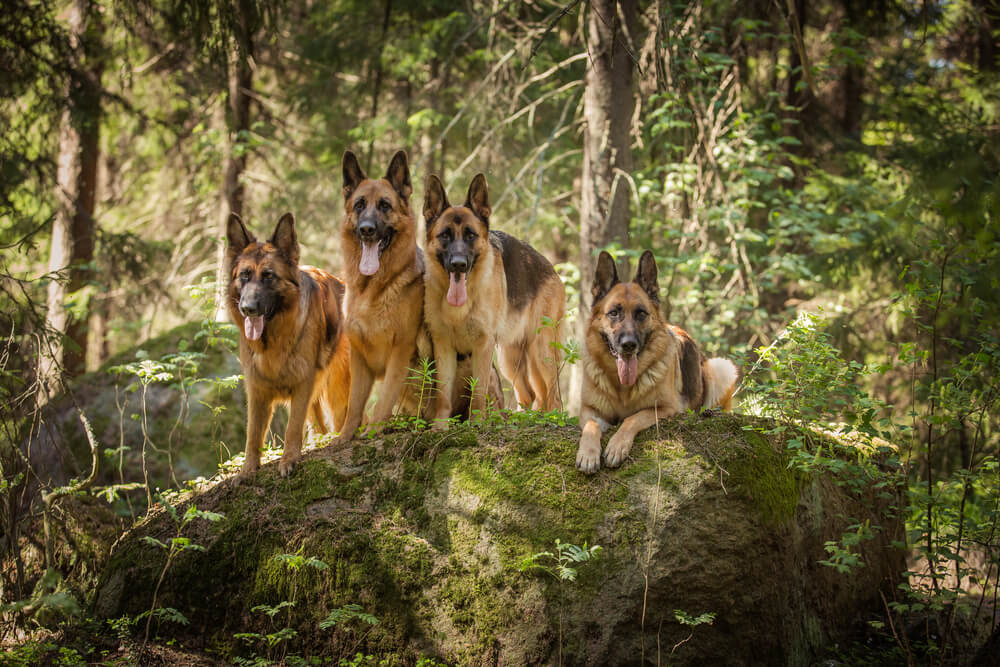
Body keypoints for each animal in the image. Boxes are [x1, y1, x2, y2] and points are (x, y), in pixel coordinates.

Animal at [227, 214, 352, 480]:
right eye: (244, 275)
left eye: (268, 276)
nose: (247, 309)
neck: (272, 341)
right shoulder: (257, 389)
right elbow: (253, 434)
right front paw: (247, 470)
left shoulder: (302, 384)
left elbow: (292, 426)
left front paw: (289, 460)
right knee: (319, 426)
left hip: (337, 392)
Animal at [332, 151, 426, 444]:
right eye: (359, 205)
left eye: (385, 205)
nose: (366, 229)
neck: (372, 290)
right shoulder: (359, 357)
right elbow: (354, 404)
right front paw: (345, 437)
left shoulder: (401, 350)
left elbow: (383, 399)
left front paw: (373, 431)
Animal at [420, 171, 564, 422]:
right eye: (445, 236)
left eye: (471, 235)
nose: (459, 264)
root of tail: (551, 268)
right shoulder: (443, 346)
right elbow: (443, 395)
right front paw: (440, 426)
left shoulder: (483, 346)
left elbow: (478, 392)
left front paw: (476, 423)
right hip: (509, 358)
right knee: (529, 394)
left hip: (540, 350)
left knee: (552, 395)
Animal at [576, 250, 740, 474]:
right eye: (614, 313)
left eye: (641, 313)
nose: (629, 345)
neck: (622, 388)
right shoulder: (589, 410)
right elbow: (591, 426)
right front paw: (588, 454)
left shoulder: (665, 409)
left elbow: (632, 418)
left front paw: (617, 446)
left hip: (722, 368)